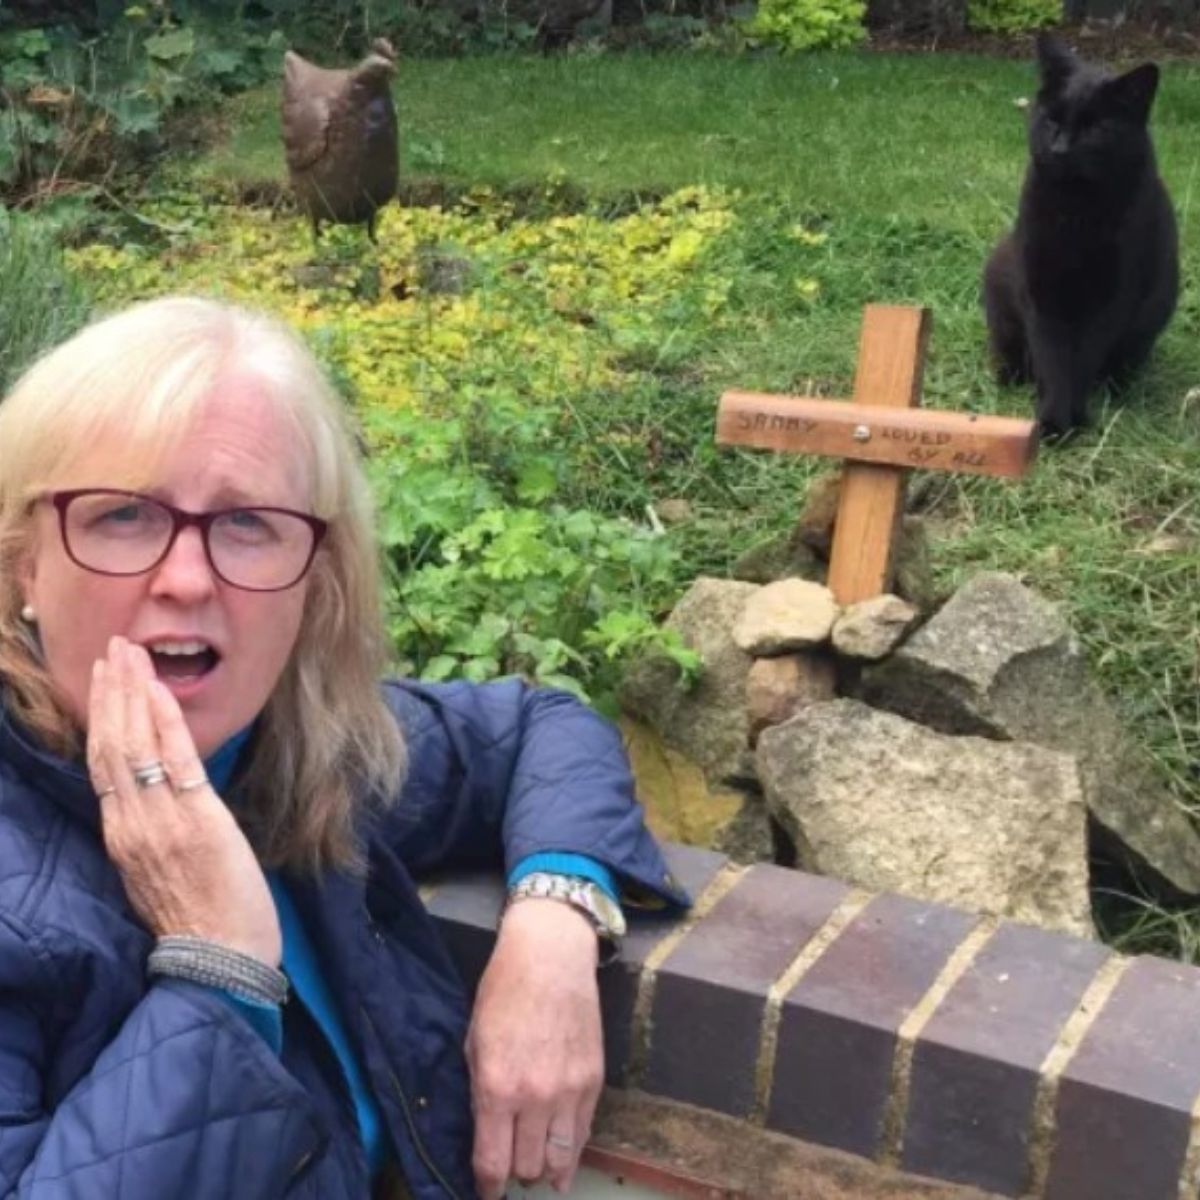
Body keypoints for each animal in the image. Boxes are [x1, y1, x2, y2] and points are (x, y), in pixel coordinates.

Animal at [988, 34, 1176, 441]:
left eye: (1095, 129)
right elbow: (1052, 357)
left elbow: (1082, 358)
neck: (1075, 211)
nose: (1060, 149)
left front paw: (1067, 419)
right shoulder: (1040, 290)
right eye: (1052, 120)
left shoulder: (1112, 296)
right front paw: (1051, 421)